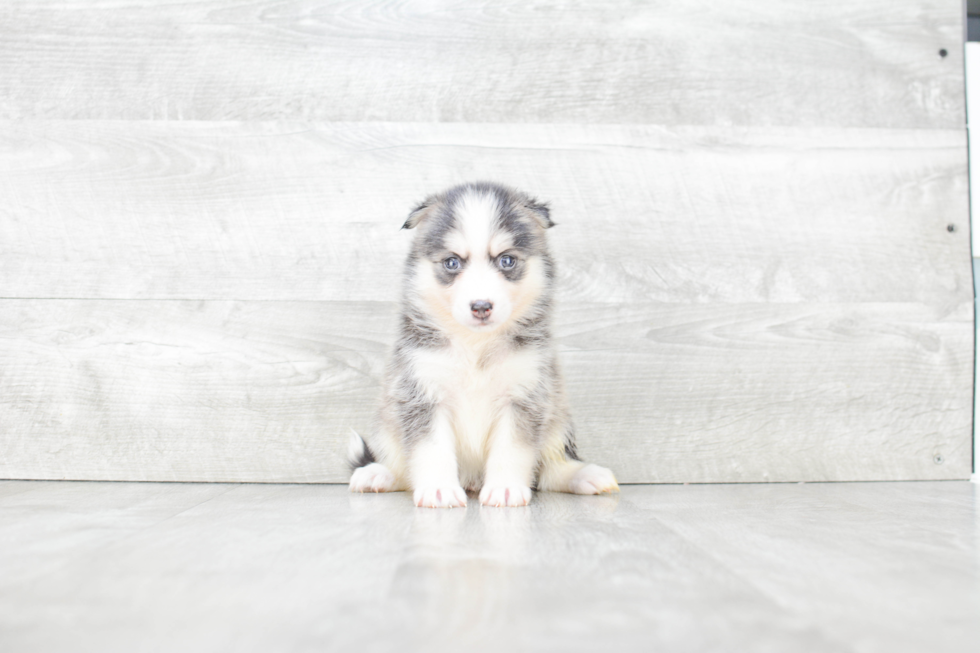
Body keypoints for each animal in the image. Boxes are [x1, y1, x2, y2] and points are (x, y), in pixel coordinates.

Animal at [348, 181, 616, 506]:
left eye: (506, 260)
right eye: (452, 262)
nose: (481, 306)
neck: (475, 345)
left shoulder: (524, 394)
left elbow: (513, 450)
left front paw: (506, 488)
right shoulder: (422, 392)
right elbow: (430, 450)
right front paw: (438, 489)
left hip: (557, 418)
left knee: (550, 468)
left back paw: (586, 475)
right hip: (389, 423)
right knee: (401, 469)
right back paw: (377, 474)